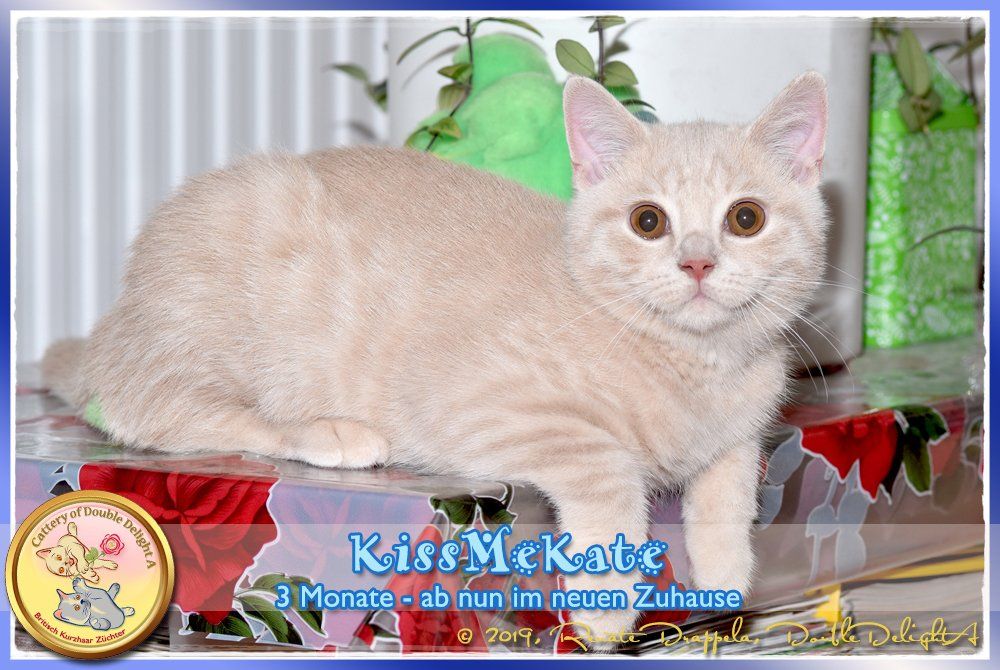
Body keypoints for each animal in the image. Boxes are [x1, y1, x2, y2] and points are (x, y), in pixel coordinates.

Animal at [42, 73, 828, 646]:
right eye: (647, 221)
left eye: (746, 218)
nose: (697, 263)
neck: (692, 361)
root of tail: (119, 318)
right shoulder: (486, 407)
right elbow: (606, 465)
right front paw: (607, 604)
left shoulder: (740, 423)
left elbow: (731, 478)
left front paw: (726, 573)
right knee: (149, 411)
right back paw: (329, 432)